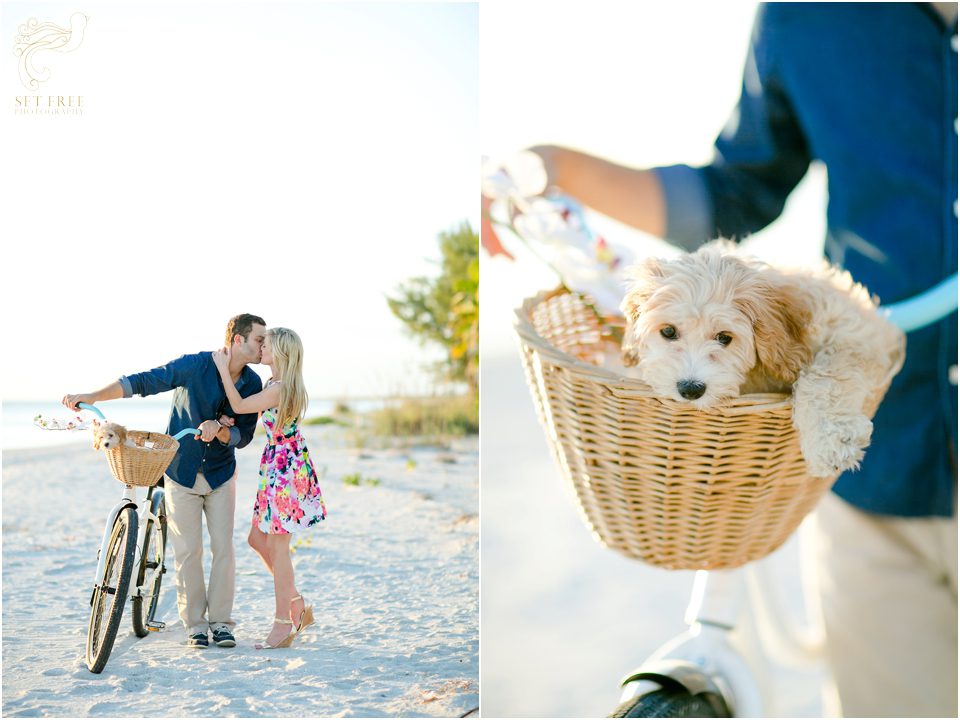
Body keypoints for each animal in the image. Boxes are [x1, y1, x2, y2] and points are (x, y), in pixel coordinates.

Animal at [620, 242, 904, 478]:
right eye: (668, 331)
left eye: (724, 337)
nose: (690, 389)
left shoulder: (857, 336)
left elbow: (825, 378)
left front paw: (830, 442)